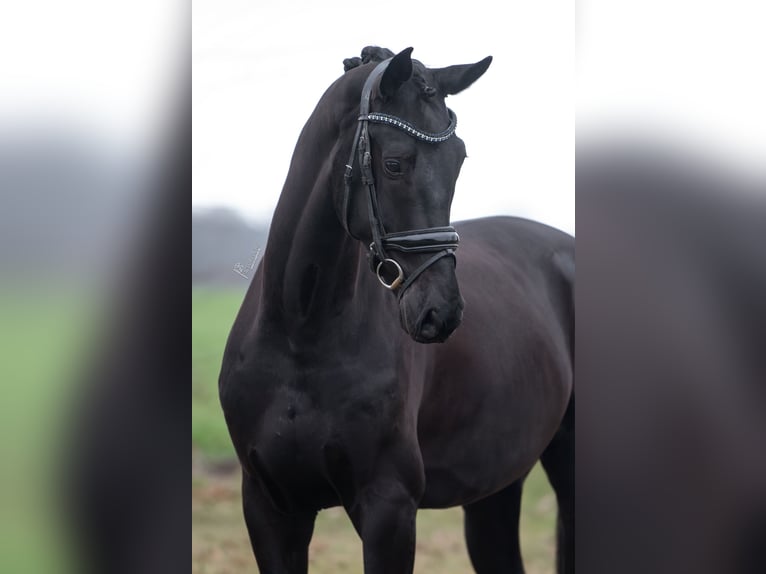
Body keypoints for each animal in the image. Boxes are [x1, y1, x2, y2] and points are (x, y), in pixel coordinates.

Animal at [219, 46, 574, 574]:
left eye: (458, 160)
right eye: (393, 164)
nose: (440, 312)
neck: (301, 334)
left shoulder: (388, 508)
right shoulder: (271, 509)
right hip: (494, 489)